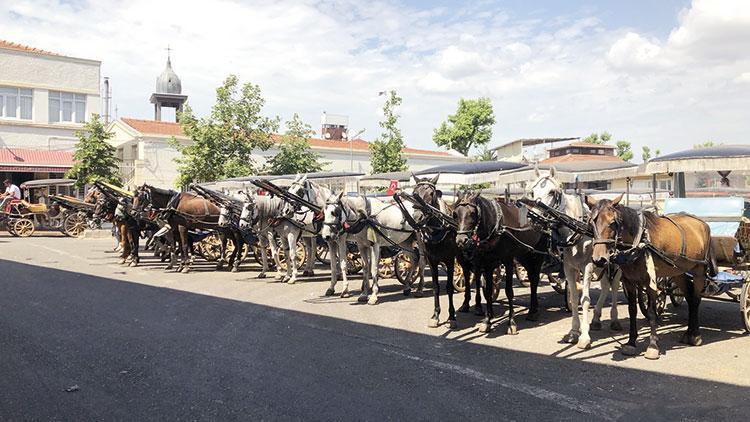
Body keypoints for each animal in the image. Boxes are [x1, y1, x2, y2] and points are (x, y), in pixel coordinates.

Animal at [408, 175, 472, 330]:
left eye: (431, 194)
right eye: (414, 192)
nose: (417, 217)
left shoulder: (449, 260)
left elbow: (449, 288)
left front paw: (451, 317)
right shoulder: (432, 260)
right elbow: (436, 287)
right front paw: (435, 316)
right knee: (467, 274)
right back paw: (466, 304)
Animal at [452, 190, 548, 334]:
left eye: (473, 213)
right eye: (456, 214)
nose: (461, 241)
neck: (496, 227)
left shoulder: (508, 261)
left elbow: (509, 291)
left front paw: (511, 322)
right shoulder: (487, 263)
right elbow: (488, 291)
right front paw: (487, 321)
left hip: (537, 254)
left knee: (535, 280)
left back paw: (532, 311)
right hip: (524, 254)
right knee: (532, 278)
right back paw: (534, 309)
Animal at [528, 168, 628, 350]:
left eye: (552, 192)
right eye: (532, 192)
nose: (533, 217)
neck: (576, 230)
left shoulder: (587, 266)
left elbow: (585, 300)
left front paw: (584, 337)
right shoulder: (569, 267)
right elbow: (574, 299)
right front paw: (574, 332)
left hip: (615, 264)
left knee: (614, 285)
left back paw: (614, 319)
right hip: (601, 263)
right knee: (605, 286)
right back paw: (596, 319)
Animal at [588, 193, 716, 358]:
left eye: (612, 223)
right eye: (592, 222)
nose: (599, 259)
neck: (639, 240)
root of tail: (703, 223)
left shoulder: (651, 281)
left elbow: (651, 312)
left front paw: (653, 346)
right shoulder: (629, 281)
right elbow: (632, 310)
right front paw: (631, 342)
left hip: (699, 270)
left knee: (696, 299)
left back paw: (695, 335)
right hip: (678, 272)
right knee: (689, 297)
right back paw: (688, 333)